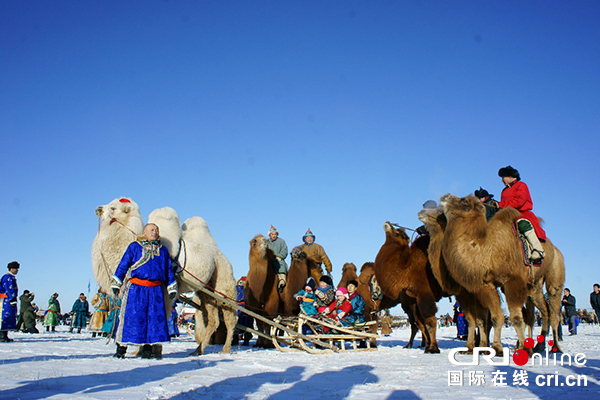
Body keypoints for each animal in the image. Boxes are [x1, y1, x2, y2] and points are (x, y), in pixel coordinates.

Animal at [376, 223, 446, 354]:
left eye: (398, 233)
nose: (388, 223)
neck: (407, 271)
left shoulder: (424, 293)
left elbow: (429, 321)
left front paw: (433, 348)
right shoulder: (416, 300)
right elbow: (423, 323)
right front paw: (428, 346)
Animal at [438, 194, 564, 354]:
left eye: (464, 201)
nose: (445, 196)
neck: (489, 250)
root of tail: (555, 249)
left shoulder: (513, 281)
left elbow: (515, 318)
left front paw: (522, 349)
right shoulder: (488, 284)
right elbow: (496, 317)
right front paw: (496, 348)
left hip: (555, 270)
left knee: (553, 310)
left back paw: (554, 347)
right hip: (533, 284)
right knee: (538, 312)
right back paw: (537, 346)